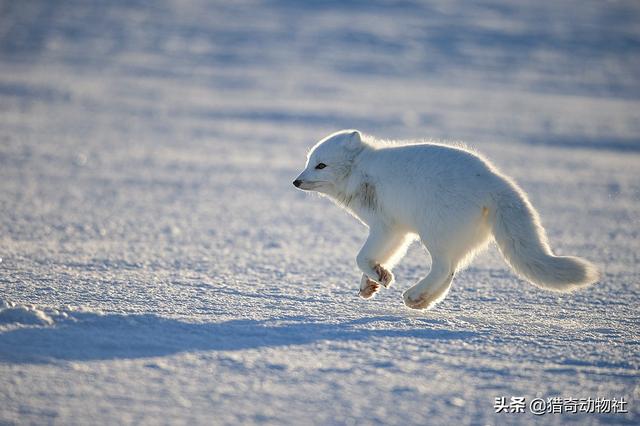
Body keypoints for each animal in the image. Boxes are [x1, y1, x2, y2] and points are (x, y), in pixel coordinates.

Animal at [294, 129, 600, 310]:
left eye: (321, 165)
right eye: (308, 161)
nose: (296, 181)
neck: (362, 171)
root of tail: (494, 180)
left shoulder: (386, 226)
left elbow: (361, 257)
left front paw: (380, 276)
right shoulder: (399, 232)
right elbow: (376, 258)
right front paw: (370, 284)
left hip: (435, 231)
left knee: (443, 267)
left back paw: (414, 295)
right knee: (451, 270)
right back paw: (422, 300)